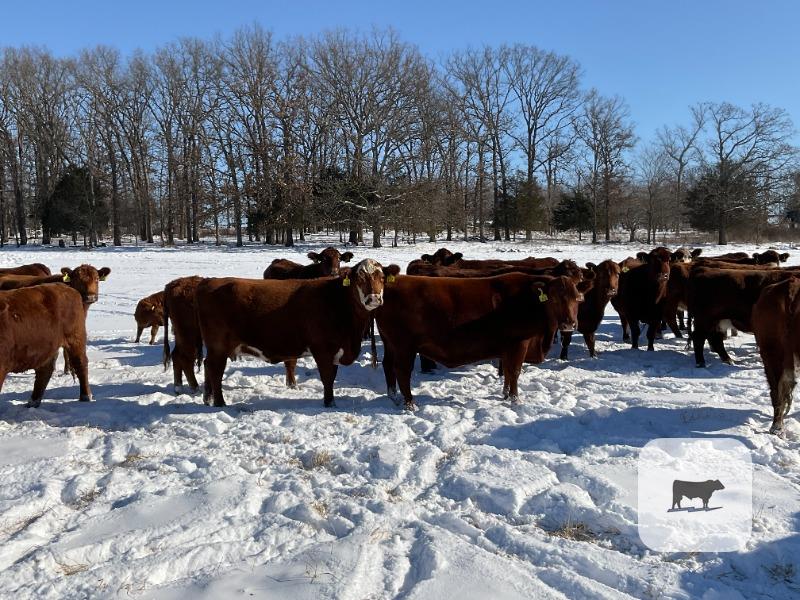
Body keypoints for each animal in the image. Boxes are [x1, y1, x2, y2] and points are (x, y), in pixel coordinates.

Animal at [196, 259, 394, 407]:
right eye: (359, 279)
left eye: (382, 277)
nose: (374, 299)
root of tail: (210, 281)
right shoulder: (322, 349)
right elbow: (328, 378)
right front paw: (329, 403)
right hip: (218, 346)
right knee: (215, 369)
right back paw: (219, 402)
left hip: (215, 348)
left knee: (207, 366)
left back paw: (208, 398)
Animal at [375, 273, 592, 411]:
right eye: (554, 298)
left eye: (577, 298)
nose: (569, 323)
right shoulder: (519, 343)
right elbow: (514, 371)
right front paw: (515, 400)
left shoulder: (507, 348)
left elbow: (507, 372)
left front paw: (505, 394)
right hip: (403, 346)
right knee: (402, 371)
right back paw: (410, 404)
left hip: (390, 344)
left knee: (387, 366)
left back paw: (393, 396)